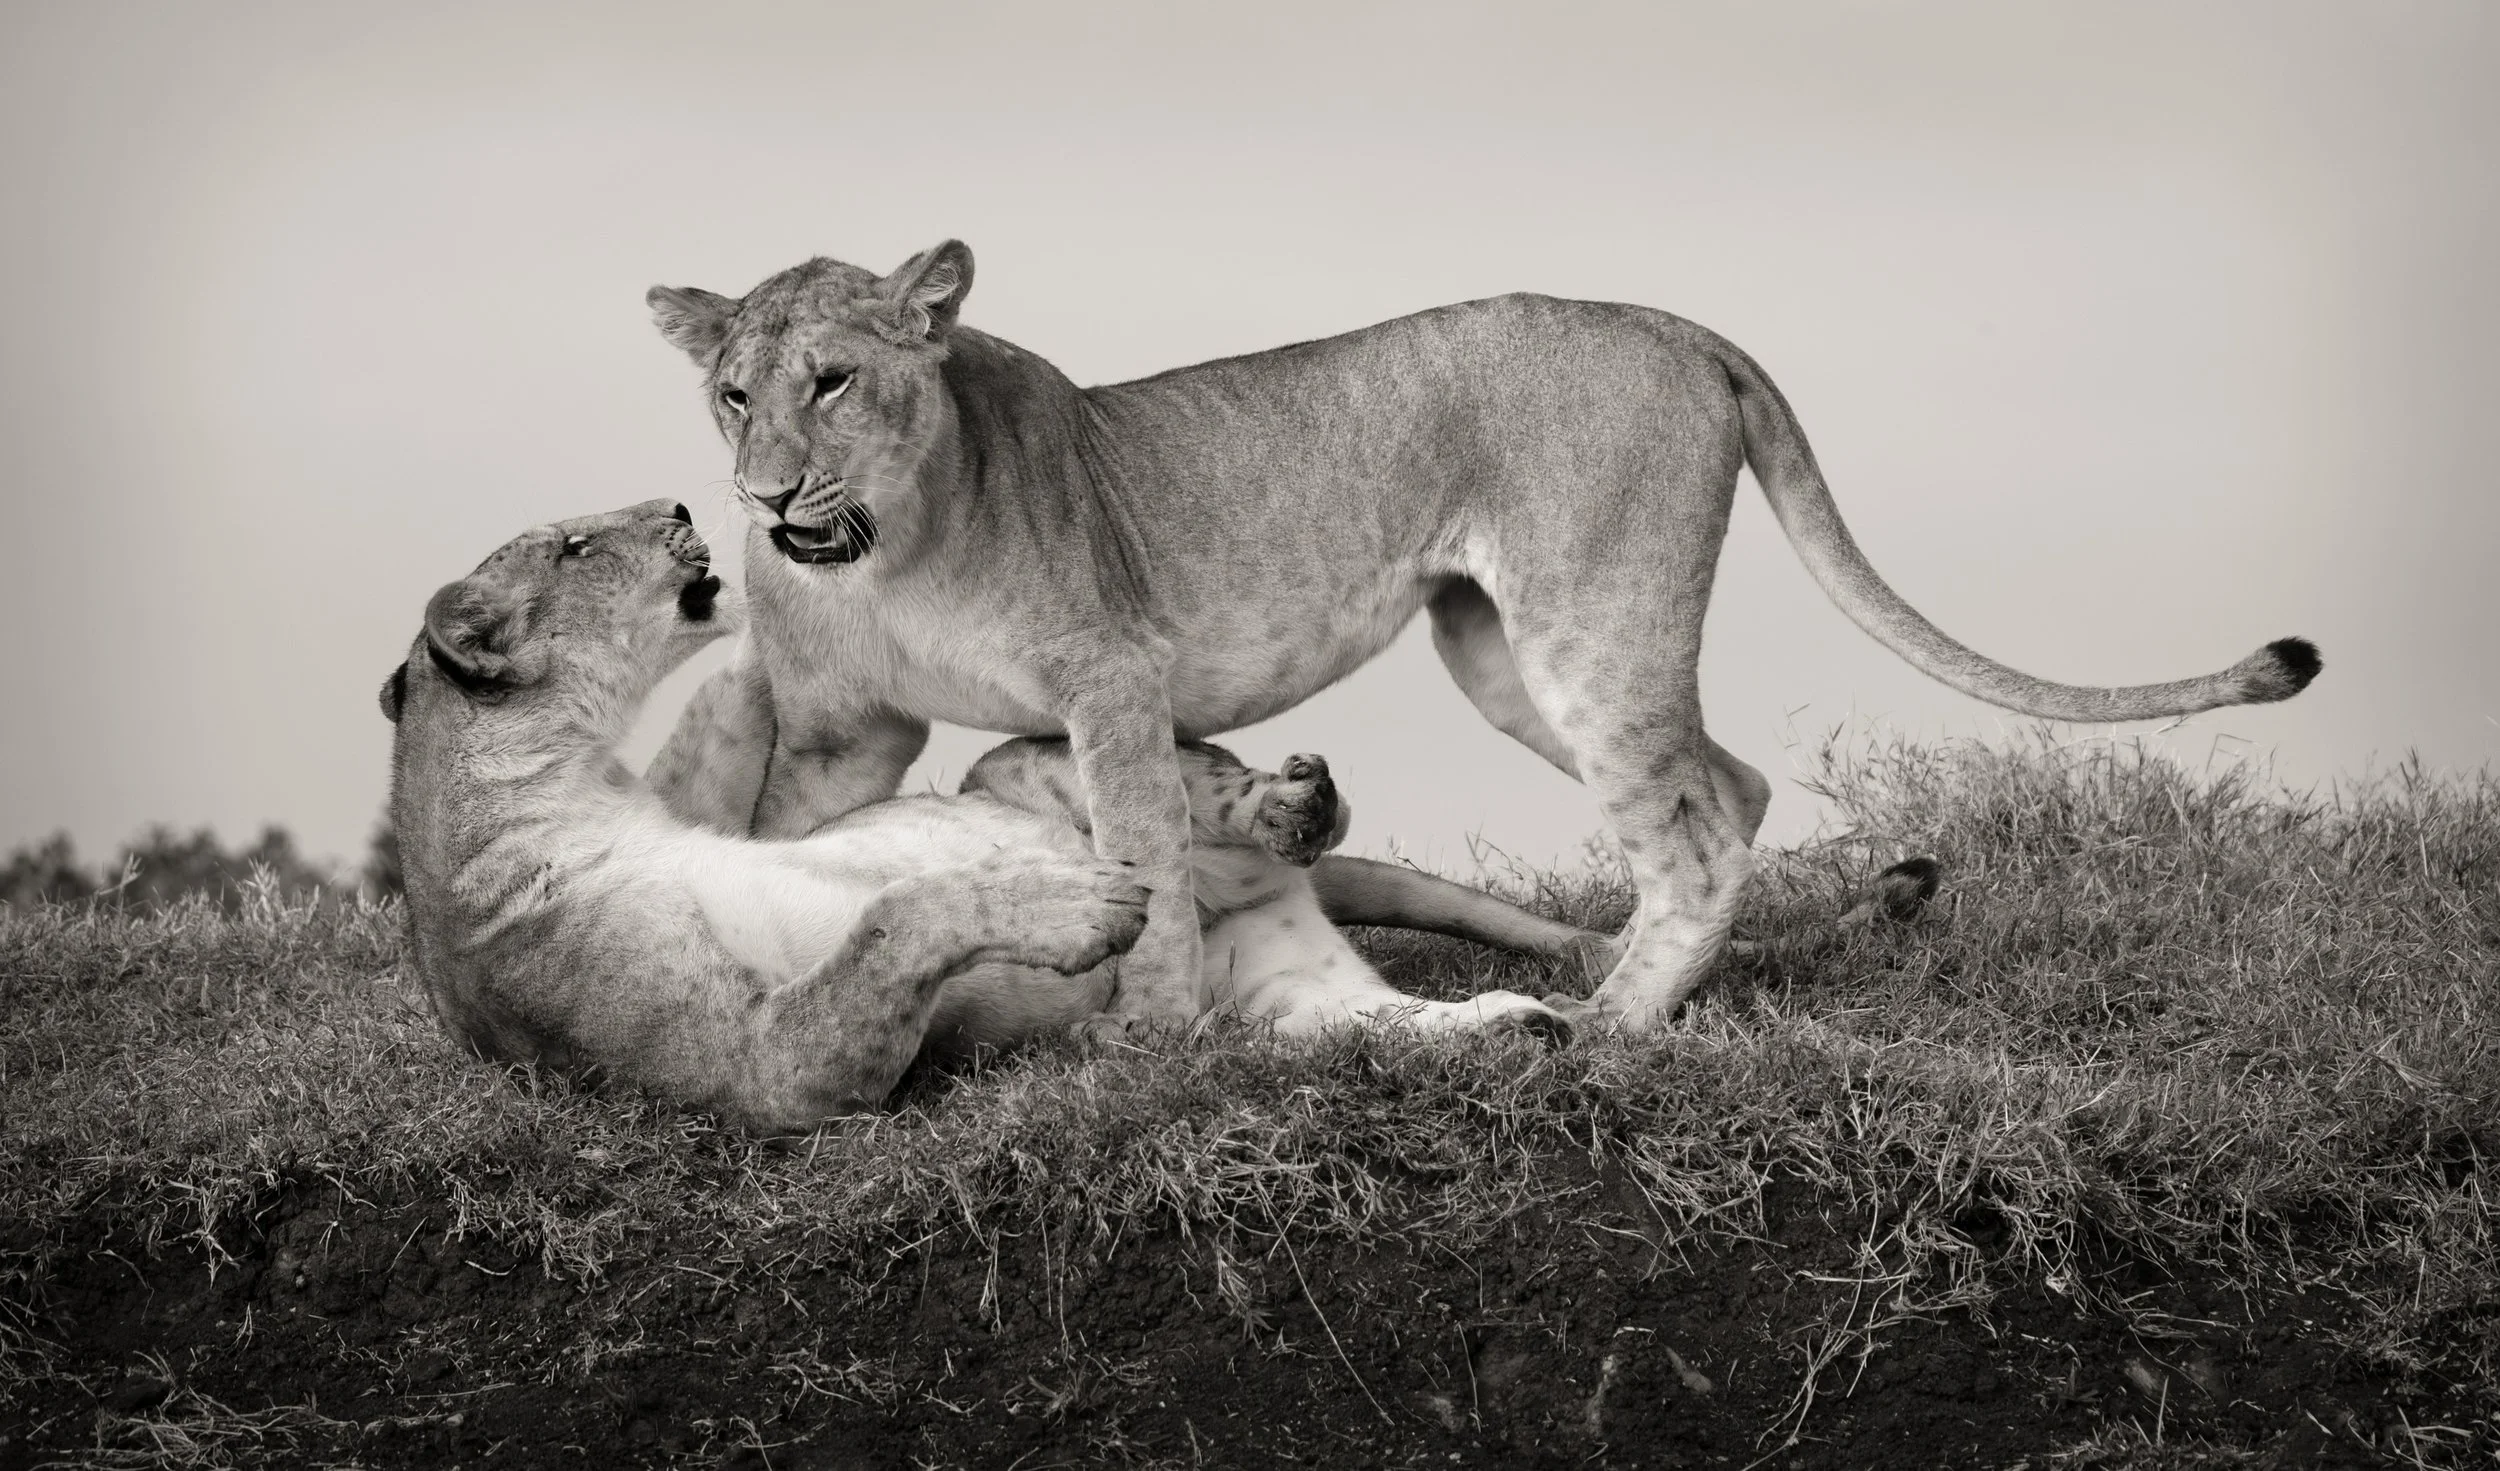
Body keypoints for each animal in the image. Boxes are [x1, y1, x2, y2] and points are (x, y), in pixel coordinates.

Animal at [380, 500, 1593, 1132]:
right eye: (573, 546)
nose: (679, 507)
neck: (567, 791)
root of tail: (1242, 903)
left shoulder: (708, 802)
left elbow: (732, 708)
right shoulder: (759, 1071)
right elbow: (895, 913)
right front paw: (1078, 906)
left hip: (1047, 769)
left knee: (1220, 796)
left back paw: (1293, 806)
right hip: (1274, 993)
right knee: (1377, 1021)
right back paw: (1513, 1023)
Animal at [645, 244, 2320, 1032]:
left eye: (835, 380)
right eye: (734, 393)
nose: (767, 490)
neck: (889, 548)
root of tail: (1676, 323)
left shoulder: (1109, 680)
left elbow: (1149, 867)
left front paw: (1155, 1037)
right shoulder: (841, 731)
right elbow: (785, 845)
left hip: (1583, 621)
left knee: (1691, 822)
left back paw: (1617, 1022)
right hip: (1501, 651)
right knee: (1728, 788)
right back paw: (1659, 982)